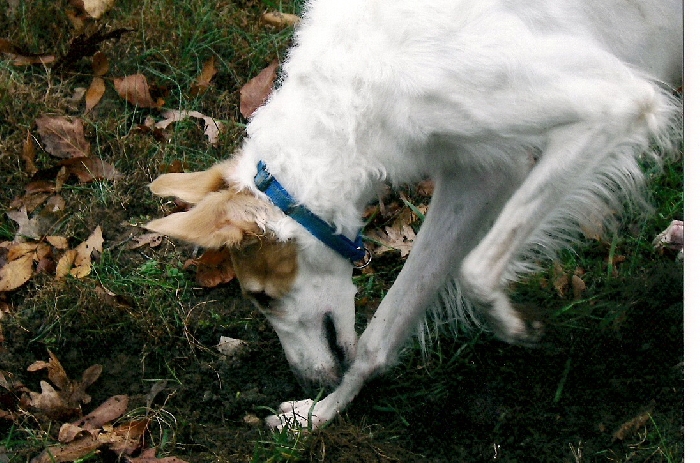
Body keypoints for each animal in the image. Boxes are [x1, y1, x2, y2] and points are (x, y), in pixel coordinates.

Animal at [146, 0, 682, 430]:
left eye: (261, 298)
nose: (307, 381)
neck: (358, 81)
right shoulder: (481, 172)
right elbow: (380, 332)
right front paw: (319, 414)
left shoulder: (614, 105)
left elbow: (476, 272)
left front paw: (513, 324)